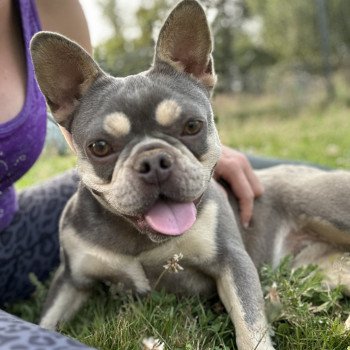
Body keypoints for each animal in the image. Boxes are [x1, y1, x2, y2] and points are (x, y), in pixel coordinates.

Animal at [29, 1, 350, 348]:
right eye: (99, 147)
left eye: (193, 126)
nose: (154, 160)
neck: (138, 236)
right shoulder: (71, 280)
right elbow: (44, 322)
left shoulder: (232, 262)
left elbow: (249, 323)